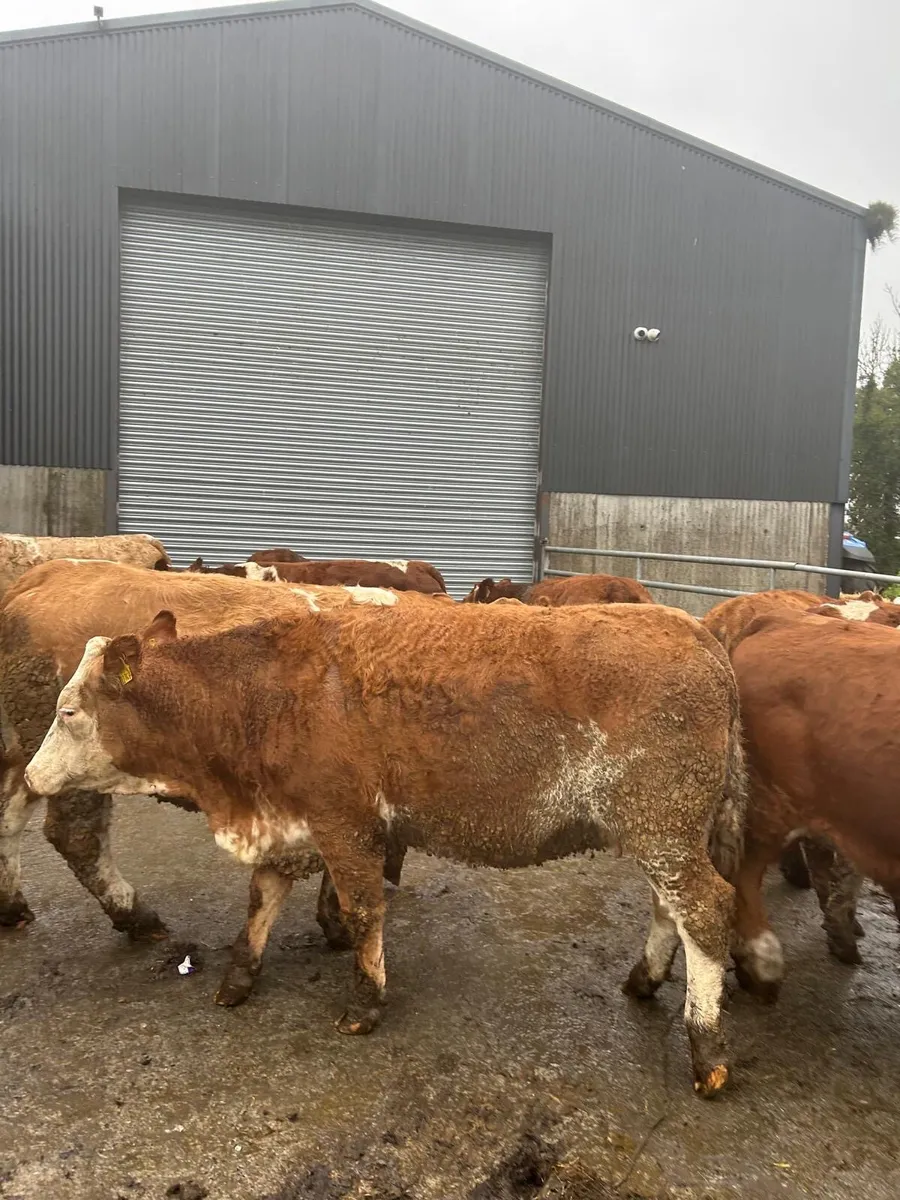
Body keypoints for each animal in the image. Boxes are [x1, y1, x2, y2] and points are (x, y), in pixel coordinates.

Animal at [0, 560, 406, 939]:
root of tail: (44, 576)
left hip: (28, 751)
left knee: (9, 813)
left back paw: (12, 906)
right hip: (73, 763)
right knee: (76, 835)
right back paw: (135, 916)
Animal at [25, 600, 745, 1098]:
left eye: (67, 712)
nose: (29, 777)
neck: (261, 697)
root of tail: (697, 633)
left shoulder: (344, 824)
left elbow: (364, 909)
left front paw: (365, 1001)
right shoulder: (292, 818)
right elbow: (262, 897)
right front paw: (238, 977)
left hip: (663, 826)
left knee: (706, 911)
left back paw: (707, 1045)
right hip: (663, 832)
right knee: (668, 909)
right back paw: (645, 979)